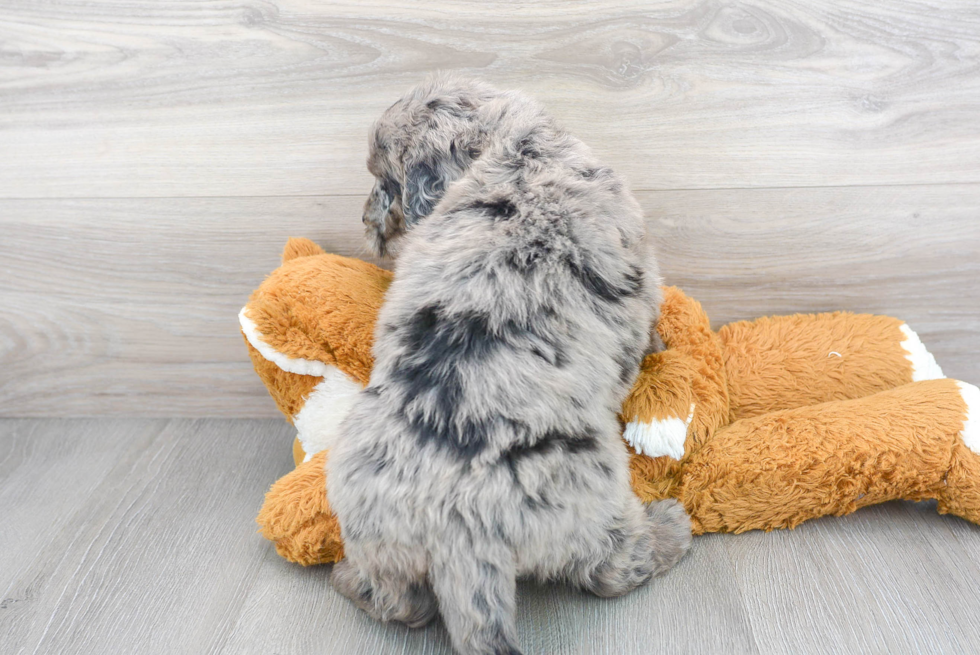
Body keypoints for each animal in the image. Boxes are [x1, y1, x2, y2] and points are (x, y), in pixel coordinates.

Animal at [330, 75, 688, 655]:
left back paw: (346, 579)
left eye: (385, 181)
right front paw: (659, 345)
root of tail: (456, 534)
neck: (518, 151)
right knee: (611, 571)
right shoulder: (642, 277)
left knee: (398, 602)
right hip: (594, 504)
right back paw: (669, 530)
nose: (367, 223)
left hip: (374, 531)